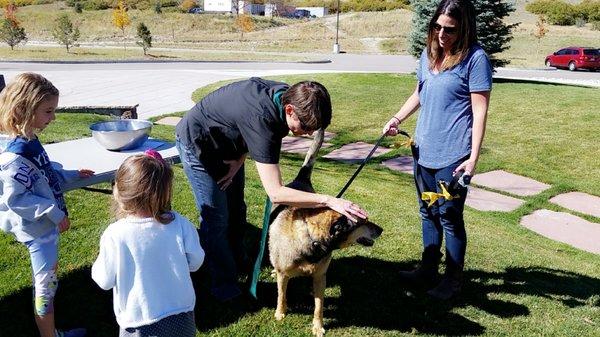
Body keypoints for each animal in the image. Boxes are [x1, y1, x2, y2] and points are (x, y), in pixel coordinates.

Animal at [268, 129, 382, 336]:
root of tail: (301, 179)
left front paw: (318, 326)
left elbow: (319, 306)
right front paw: (280, 313)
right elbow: (281, 295)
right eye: (363, 222)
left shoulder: (320, 277)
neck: (312, 240)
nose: (381, 230)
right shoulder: (284, 275)